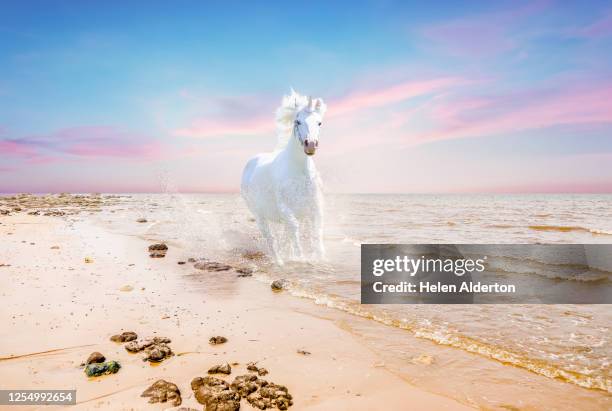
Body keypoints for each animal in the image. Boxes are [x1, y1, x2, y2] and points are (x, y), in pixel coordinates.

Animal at [240, 89, 328, 264]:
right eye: (297, 122)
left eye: (319, 123)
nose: (310, 145)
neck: (299, 173)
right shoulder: (286, 209)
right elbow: (294, 230)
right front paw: (301, 258)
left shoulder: (315, 207)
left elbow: (316, 231)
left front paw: (320, 258)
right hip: (259, 215)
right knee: (270, 238)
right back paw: (279, 261)